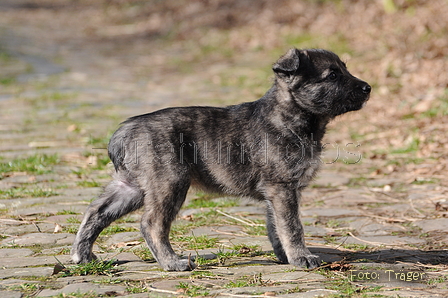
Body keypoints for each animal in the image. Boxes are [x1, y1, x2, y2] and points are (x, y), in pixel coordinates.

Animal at [71, 49, 372, 272]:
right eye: (332, 75)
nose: (368, 87)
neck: (290, 115)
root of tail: (126, 130)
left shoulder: (275, 193)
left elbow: (275, 226)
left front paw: (285, 256)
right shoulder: (283, 187)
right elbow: (292, 226)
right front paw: (302, 257)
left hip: (131, 187)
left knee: (95, 211)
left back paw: (82, 256)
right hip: (170, 182)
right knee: (152, 223)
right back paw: (172, 263)